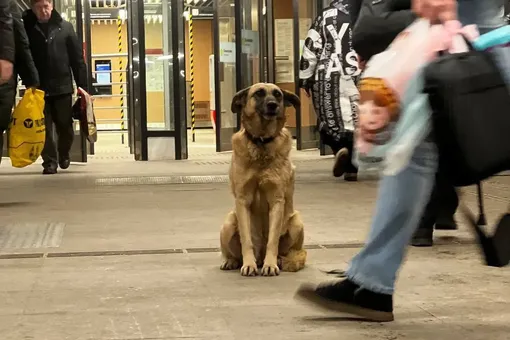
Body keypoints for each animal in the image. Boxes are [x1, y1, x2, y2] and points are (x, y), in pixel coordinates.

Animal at [219, 83, 306, 278]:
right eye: (258, 93)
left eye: (278, 94)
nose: (272, 105)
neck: (261, 142)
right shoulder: (242, 200)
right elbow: (246, 240)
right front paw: (248, 264)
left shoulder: (277, 200)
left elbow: (272, 240)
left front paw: (271, 265)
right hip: (228, 222)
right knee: (232, 252)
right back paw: (232, 261)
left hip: (296, 221)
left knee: (291, 251)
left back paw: (279, 260)